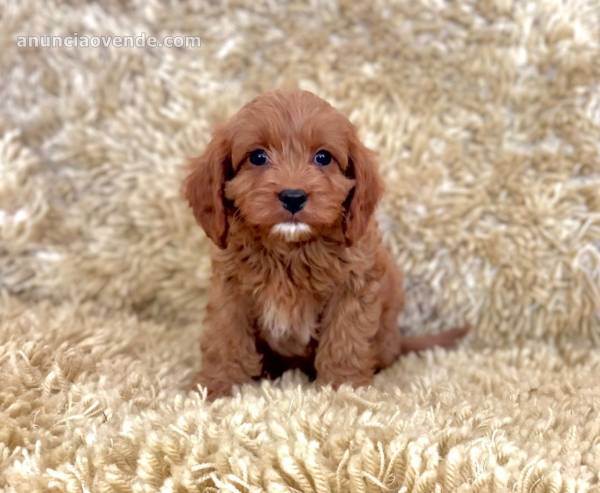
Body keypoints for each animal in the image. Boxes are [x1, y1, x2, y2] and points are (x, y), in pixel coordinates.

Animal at [185, 90, 466, 400]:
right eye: (257, 157)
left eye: (322, 157)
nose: (293, 196)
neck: (290, 248)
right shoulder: (230, 288)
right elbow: (225, 336)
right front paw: (215, 386)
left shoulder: (353, 286)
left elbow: (345, 338)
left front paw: (342, 387)